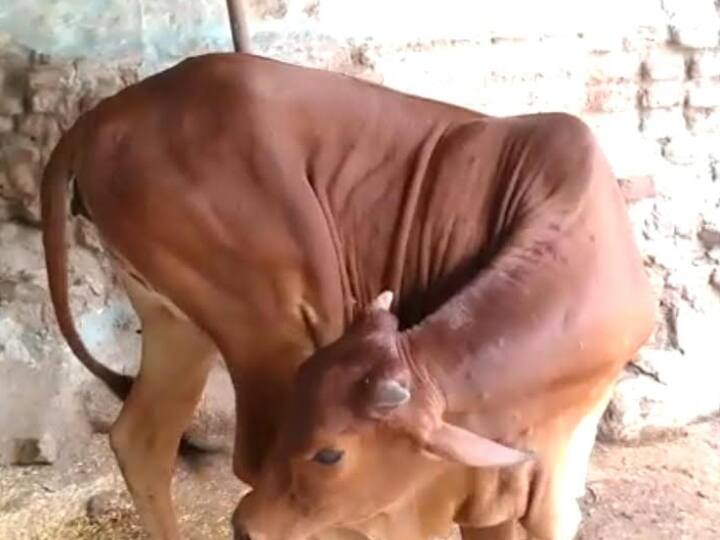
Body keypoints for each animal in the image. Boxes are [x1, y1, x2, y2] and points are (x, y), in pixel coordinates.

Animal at [41, 52, 655, 540]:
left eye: (331, 452)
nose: (243, 528)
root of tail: (99, 117)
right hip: (269, 320)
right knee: (244, 460)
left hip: (177, 322)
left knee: (141, 440)